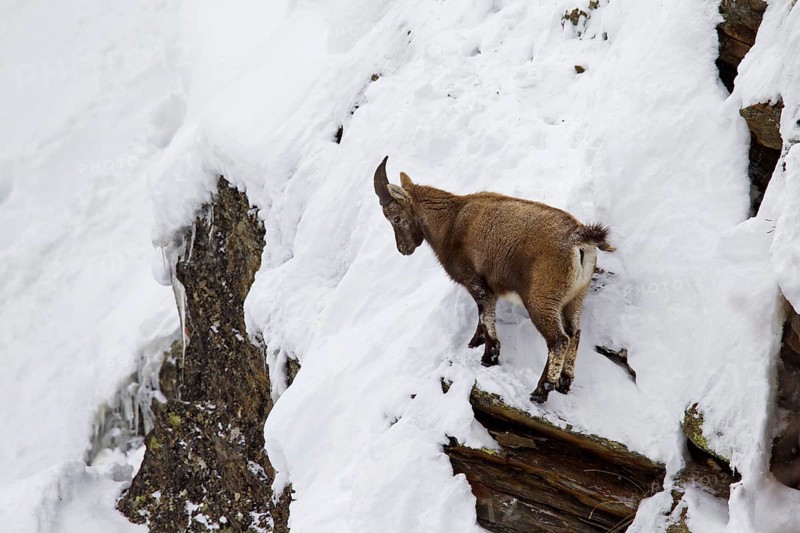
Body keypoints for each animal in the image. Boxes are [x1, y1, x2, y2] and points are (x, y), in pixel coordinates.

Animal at [373, 156, 615, 403]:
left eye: (395, 218)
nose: (403, 249)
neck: (450, 221)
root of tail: (579, 238)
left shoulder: (477, 282)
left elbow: (485, 315)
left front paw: (489, 356)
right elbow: (482, 317)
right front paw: (474, 342)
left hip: (542, 298)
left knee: (559, 340)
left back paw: (541, 390)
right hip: (575, 298)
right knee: (574, 334)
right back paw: (564, 383)